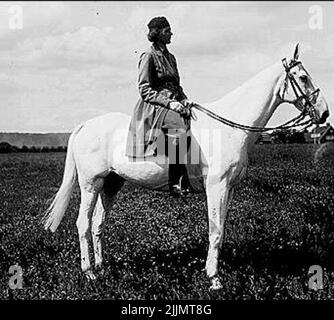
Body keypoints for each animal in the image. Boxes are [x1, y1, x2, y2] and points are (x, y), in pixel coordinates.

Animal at [42, 45, 328, 290]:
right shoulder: (216, 187)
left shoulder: (229, 188)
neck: (228, 127)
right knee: (83, 223)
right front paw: (214, 278)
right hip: (91, 184)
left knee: (98, 223)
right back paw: (89, 272)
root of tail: (85, 125)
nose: (324, 113)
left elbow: (220, 230)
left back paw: (102, 267)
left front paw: (212, 271)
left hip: (111, 184)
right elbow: (215, 230)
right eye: (303, 77)